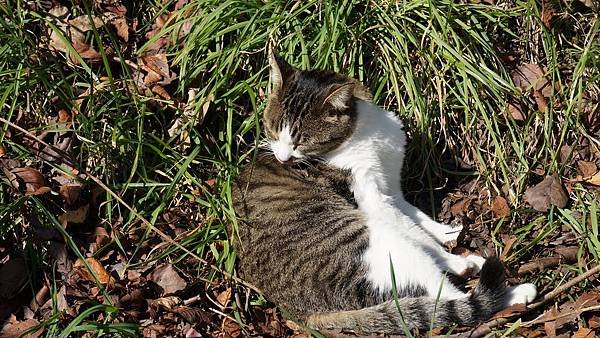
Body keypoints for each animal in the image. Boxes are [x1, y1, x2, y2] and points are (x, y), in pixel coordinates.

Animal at [231, 53, 540, 336]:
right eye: (273, 131)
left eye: (301, 142)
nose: (283, 159)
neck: (364, 133)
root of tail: (303, 314)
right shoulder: (372, 198)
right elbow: (418, 234)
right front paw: (454, 258)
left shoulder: (391, 187)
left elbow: (418, 219)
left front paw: (448, 232)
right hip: (379, 243)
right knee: (450, 299)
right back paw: (514, 293)